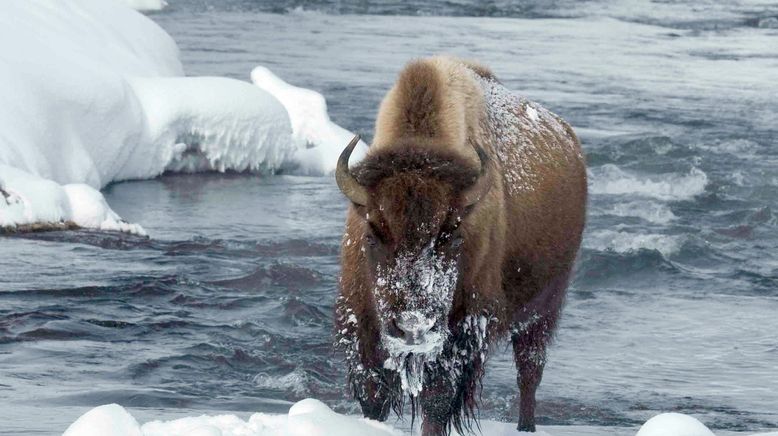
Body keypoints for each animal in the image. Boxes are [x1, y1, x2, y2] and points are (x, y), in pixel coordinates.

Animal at [332, 56, 584, 434]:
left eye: (452, 235)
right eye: (372, 234)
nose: (413, 326)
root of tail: (568, 138)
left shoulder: (462, 330)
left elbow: (437, 401)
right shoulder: (362, 324)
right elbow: (373, 395)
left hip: (542, 311)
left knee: (529, 372)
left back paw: (526, 426)